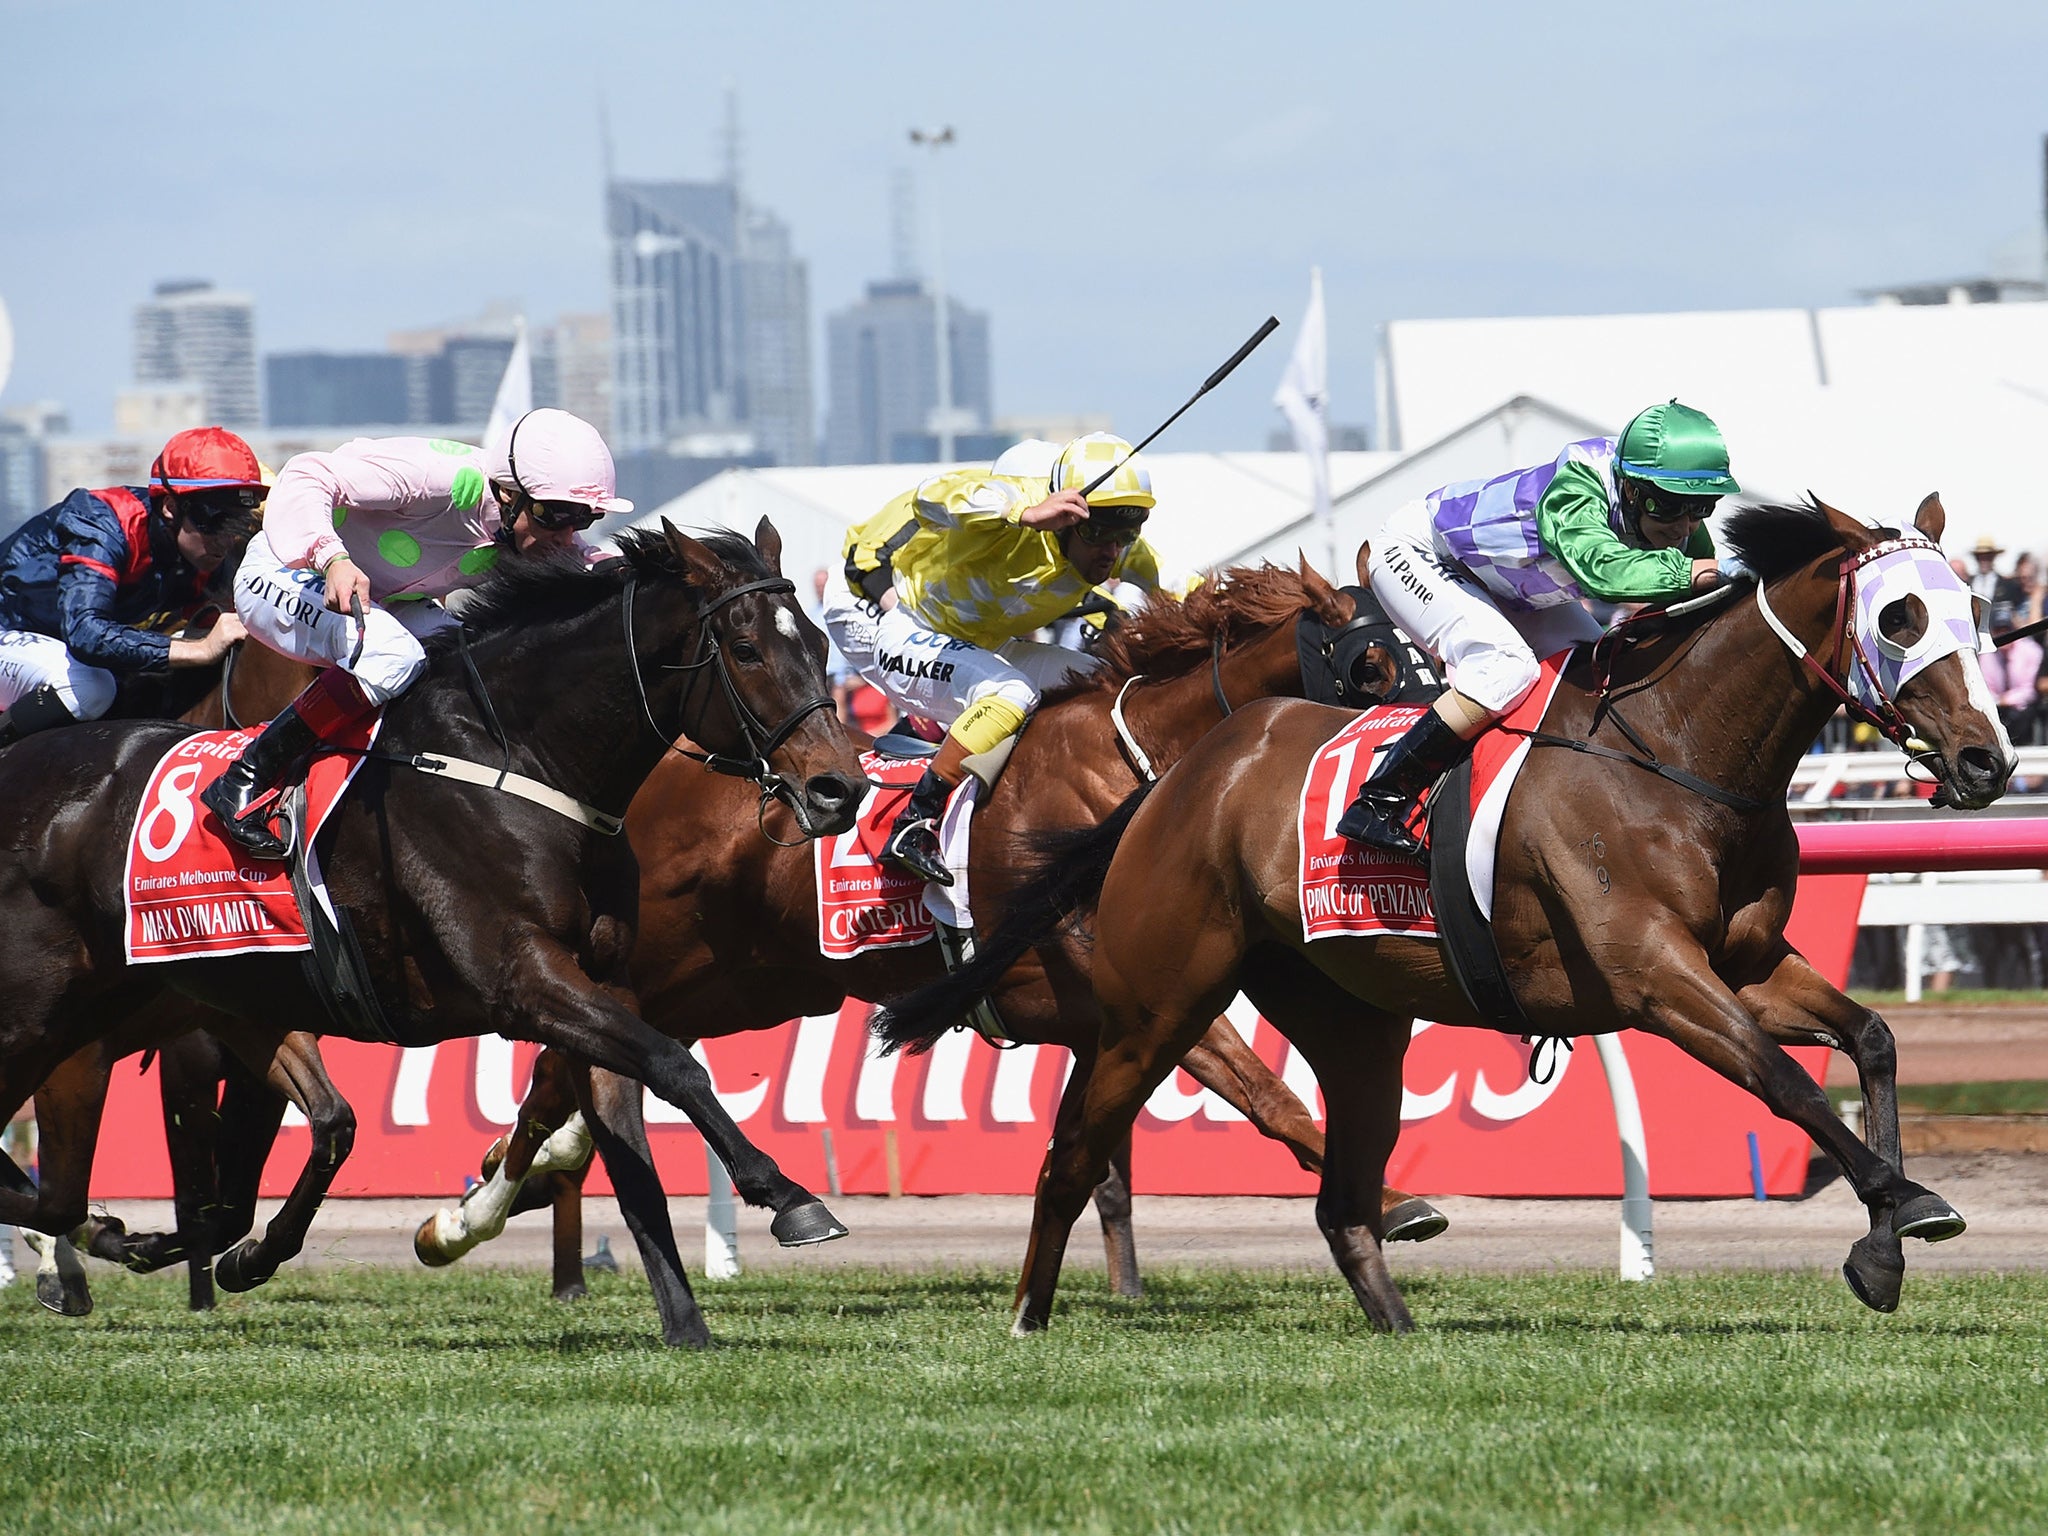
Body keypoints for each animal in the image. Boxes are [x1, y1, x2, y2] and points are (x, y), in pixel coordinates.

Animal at [0, 520, 864, 1343]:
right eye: (746, 650)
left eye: (821, 646)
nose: (840, 788)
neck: (517, 762)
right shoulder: (524, 980)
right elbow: (677, 1069)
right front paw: (790, 1197)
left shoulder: (604, 987)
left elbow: (634, 1151)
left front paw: (687, 1325)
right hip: (42, 1015)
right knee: (58, 1178)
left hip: (204, 997)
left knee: (201, 1162)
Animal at [411, 561, 1441, 1294]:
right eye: (1372, 664)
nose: (1418, 761)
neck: (1131, 769)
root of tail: (666, 766)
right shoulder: (1141, 993)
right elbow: (1269, 1095)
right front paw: (1395, 1204)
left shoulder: (1109, 1015)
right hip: (663, 958)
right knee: (564, 1057)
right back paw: (469, 1214)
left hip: (740, 981)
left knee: (582, 1065)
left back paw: (507, 1187)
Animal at [880, 501, 2015, 1335]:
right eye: (1899, 619)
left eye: (1969, 609)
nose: (1985, 760)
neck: (1672, 751)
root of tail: (1175, 782)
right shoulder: (1652, 973)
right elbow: (1783, 1080)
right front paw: (1905, 1205)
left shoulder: (1744, 960)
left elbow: (1869, 1039)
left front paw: (1885, 1240)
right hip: (1156, 1004)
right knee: (1075, 1153)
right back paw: (1028, 1317)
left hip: (1351, 1024)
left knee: (1340, 1196)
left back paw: (1396, 1324)